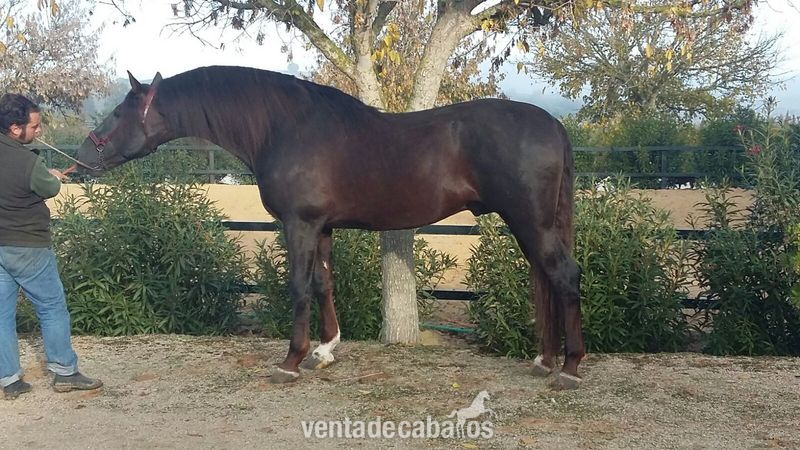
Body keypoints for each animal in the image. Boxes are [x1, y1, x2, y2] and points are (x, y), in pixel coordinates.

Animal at [75, 65, 585, 388]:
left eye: (119, 113)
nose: (81, 159)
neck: (282, 127)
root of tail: (554, 125)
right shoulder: (321, 228)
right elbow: (323, 283)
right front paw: (325, 351)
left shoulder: (299, 225)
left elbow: (299, 286)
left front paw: (291, 361)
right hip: (531, 225)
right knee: (545, 281)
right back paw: (544, 361)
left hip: (530, 221)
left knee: (563, 277)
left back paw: (570, 368)